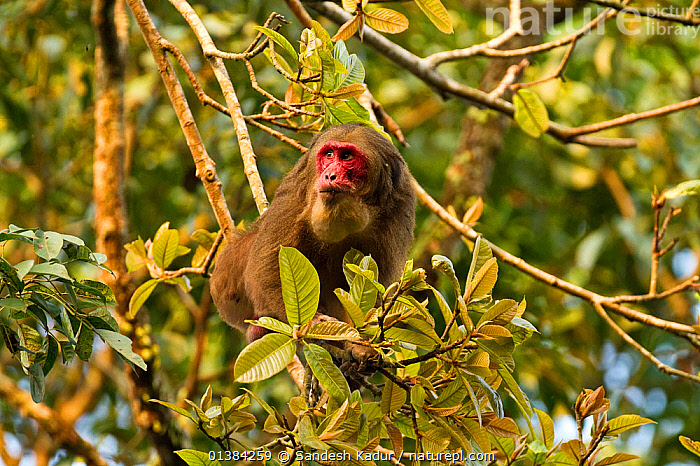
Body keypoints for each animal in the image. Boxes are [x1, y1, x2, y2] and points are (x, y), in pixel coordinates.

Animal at [209, 123, 416, 354]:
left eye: (347, 157)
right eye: (329, 154)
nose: (329, 175)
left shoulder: (400, 204)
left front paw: (361, 346)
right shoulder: (298, 190)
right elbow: (266, 267)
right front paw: (312, 322)